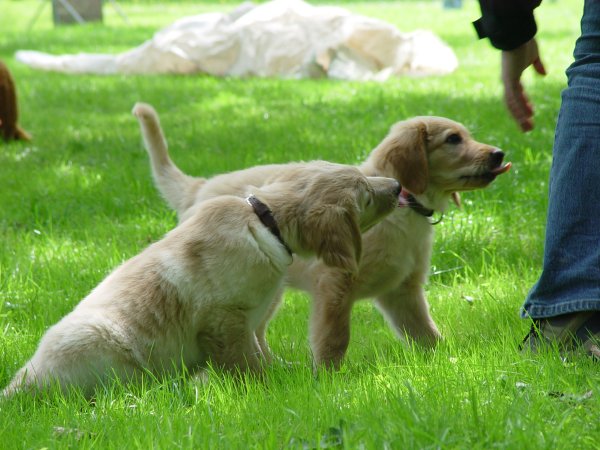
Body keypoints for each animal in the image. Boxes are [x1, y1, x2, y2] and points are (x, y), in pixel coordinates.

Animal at [3, 103, 404, 396]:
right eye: (366, 199)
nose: (398, 187)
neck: (265, 222)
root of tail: (17, 389)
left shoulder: (248, 322)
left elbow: (260, 353)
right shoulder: (225, 320)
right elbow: (249, 367)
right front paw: (268, 392)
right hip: (102, 344)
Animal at [132, 103, 510, 370]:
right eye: (453, 139)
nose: (500, 154)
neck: (406, 210)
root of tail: (198, 188)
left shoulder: (403, 291)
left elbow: (425, 334)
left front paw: (446, 363)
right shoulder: (335, 283)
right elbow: (334, 339)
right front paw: (328, 380)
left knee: (257, 330)